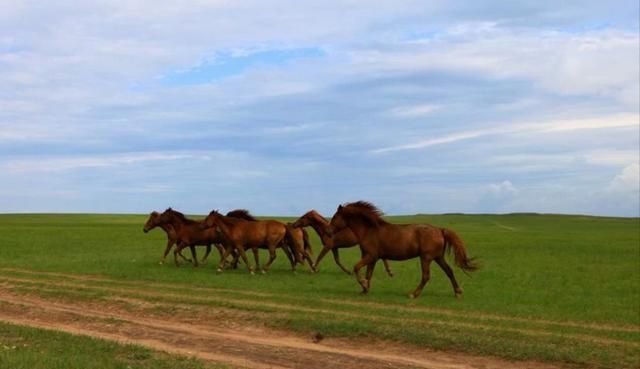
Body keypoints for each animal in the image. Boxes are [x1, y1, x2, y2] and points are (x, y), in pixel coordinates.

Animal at [330, 200, 476, 298]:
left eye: (335, 216)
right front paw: (365, 289)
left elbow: (356, 268)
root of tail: (440, 230)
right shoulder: (373, 258)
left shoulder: (370, 256)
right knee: (449, 271)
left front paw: (364, 285)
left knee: (426, 276)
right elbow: (368, 274)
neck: (369, 230)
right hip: (438, 257)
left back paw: (413, 294)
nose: (329, 231)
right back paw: (458, 292)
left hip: (426, 257)